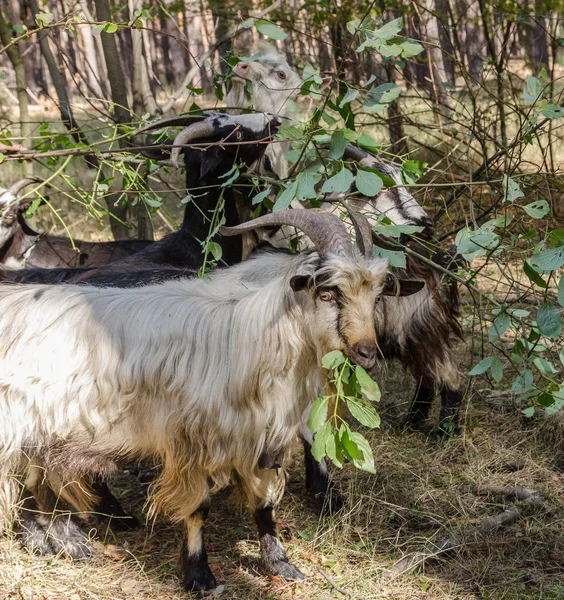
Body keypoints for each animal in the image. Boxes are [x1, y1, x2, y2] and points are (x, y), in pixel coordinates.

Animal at [0, 210, 418, 592]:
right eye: (327, 292)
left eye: (376, 295)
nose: (367, 352)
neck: (254, 336)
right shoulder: (195, 440)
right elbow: (198, 509)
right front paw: (199, 575)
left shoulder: (258, 438)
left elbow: (265, 503)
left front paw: (281, 565)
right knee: (26, 482)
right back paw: (56, 540)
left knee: (36, 479)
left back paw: (66, 538)